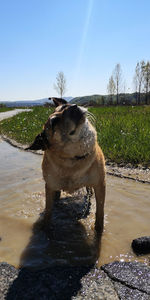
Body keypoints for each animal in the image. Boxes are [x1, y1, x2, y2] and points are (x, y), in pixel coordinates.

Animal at [27, 97, 106, 233]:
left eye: (66, 106)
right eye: (54, 122)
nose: (74, 106)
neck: (73, 159)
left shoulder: (100, 184)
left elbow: (100, 211)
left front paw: (99, 230)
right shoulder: (50, 186)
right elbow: (48, 211)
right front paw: (46, 229)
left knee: (89, 192)